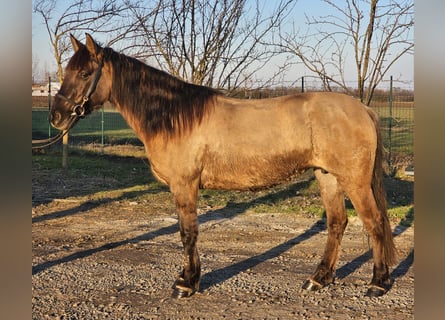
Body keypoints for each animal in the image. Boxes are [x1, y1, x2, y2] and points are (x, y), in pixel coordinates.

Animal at [51, 33, 396, 298]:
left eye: (85, 74)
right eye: (66, 71)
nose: (57, 116)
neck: (175, 117)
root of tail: (363, 109)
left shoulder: (185, 185)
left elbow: (187, 232)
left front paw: (186, 284)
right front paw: (187, 278)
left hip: (354, 181)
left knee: (375, 223)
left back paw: (378, 284)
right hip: (327, 177)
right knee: (337, 223)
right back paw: (318, 279)